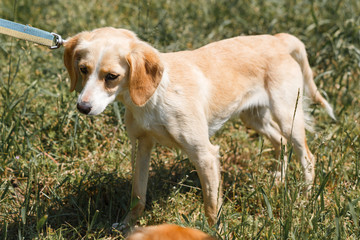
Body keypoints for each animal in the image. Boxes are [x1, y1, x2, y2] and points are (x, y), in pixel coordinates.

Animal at [62, 27, 334, 226]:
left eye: (111, 77)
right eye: (83, 70)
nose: (82, 107)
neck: (155, 95)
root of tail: (277, 39)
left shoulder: (205, 155)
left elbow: (211, 205)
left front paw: (214, 231)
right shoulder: (141, 146)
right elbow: (138, 195)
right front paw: (128, 224)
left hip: (288, 116)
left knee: (307, 157)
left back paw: (304, 199)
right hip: (253, 116)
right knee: (280, 142)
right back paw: (278, 181)